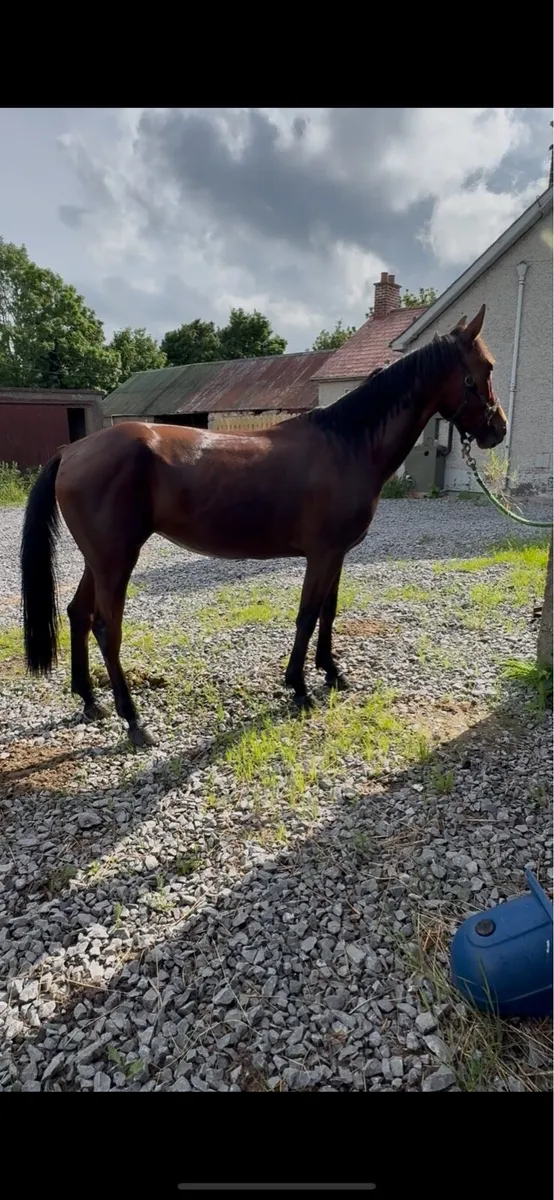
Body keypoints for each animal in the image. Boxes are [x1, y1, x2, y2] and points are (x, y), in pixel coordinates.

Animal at [20, 304, 506, 748]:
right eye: (485, 368)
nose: (498, 430)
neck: (347, 443)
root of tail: (73, 450)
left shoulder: (338, 554)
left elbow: (328, 612)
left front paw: (332, 673)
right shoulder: (322, 554)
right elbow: (307, 615)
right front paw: (299, 688)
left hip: (100, 560)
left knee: (78, 613)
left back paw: (90, 701)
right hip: (116, 561)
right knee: (107, 628)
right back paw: (134, 721)